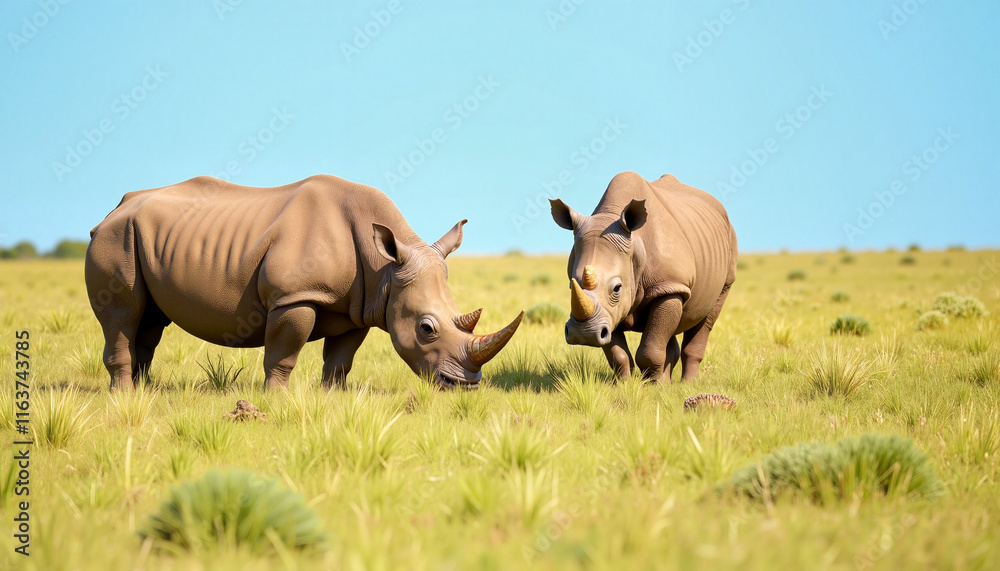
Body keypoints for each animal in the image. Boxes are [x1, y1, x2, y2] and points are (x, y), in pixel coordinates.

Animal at [86, 174, 524, 390]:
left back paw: (146, 392)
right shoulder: (294, 296)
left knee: (151, 321)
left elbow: (341, 359)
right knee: (123, 314)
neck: (385, 266)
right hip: (115, 239)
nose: (465, 385)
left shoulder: (360, 306)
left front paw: (332, 398)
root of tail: (114, 209)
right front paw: (275, 400)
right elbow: (283, 352)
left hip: (143, 239)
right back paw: (124, 398)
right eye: (426, 328)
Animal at [549, 171, 736, 382]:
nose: (584, 335)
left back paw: (689, 383)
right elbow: (618, 352)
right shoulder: (611, 312)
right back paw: (669, 382)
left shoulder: (669, 283)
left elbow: (650, 349)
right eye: (571, 286)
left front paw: (653, 386)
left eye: (617, 288)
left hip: (725, 254)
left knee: (707, 315)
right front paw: (624, 384)